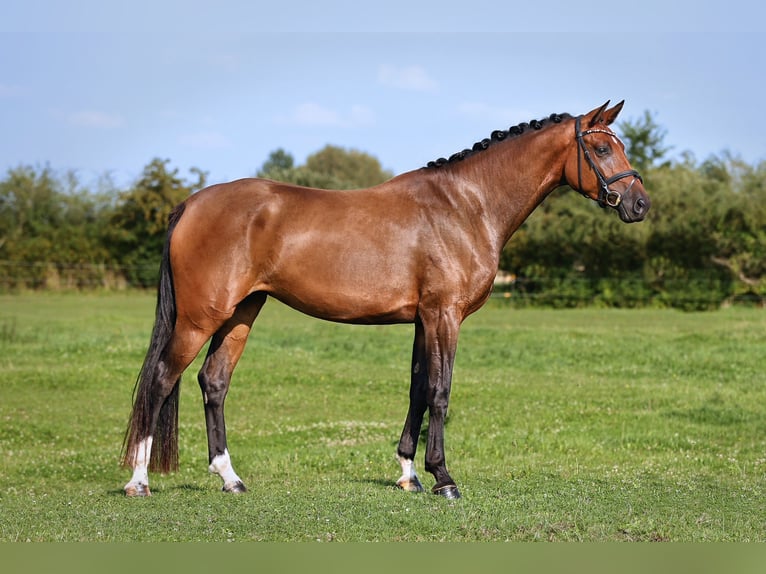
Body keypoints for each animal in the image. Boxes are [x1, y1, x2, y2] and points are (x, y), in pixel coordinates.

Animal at [121, 100, 650, 499]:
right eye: (601, 147)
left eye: (620, 145)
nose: (639, 204)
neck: (466, 205)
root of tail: (191, 204)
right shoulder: (444, 316)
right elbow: (440, 391)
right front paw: (444, 480)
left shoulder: (422, 320)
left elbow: (417, 389)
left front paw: (409, 473)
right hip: (198, 318)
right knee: (161, 380)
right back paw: (139, 481)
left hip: (240, 313)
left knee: (213, 381)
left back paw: (230, 478)